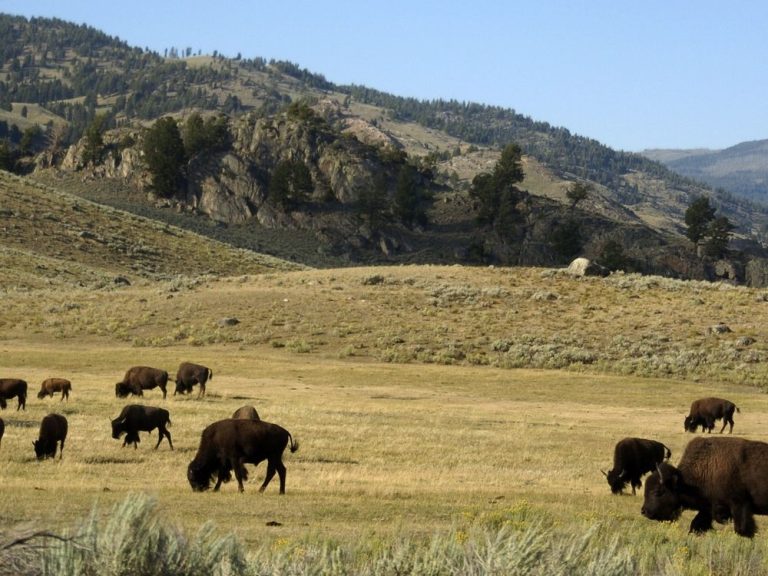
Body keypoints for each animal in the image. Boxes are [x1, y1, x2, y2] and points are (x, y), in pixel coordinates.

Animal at [640, 438, 768, 536]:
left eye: (658, 492)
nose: (644, 511)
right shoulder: (707, 508)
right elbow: (696, 525)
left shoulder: (739, 505)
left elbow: (742, 530)